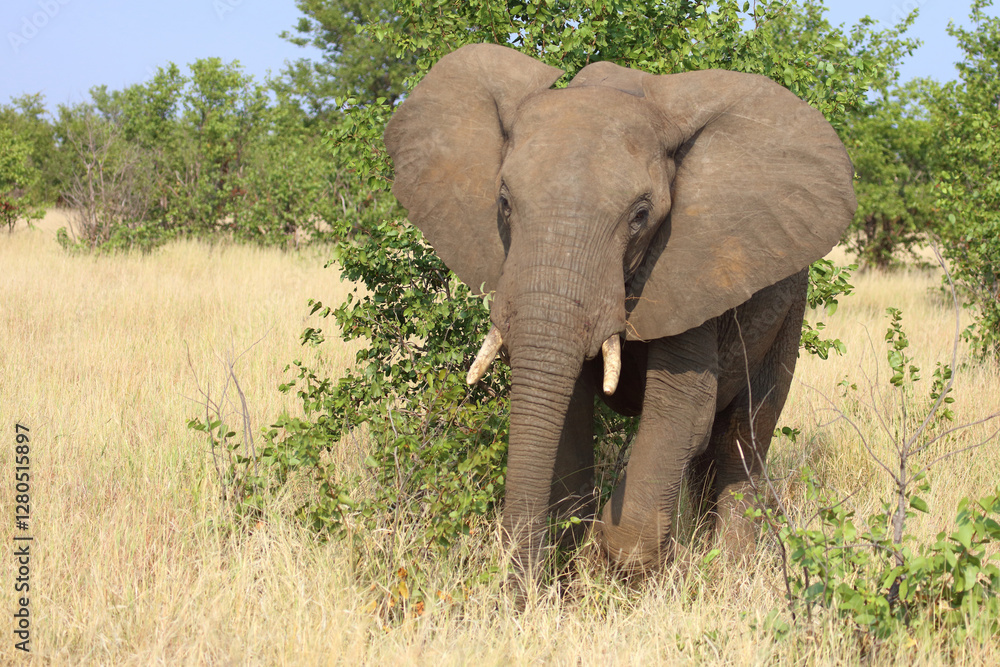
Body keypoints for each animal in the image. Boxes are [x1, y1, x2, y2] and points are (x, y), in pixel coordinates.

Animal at [383, 44, 856, 579]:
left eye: (641, 217)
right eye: (503, 202)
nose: (518, 589)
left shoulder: (689, 266)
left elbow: (684, 407)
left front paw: (628, 557)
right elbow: (566, 408)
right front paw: (573, 567)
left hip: (790, 302)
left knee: (744, 431)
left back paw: (729, 571)